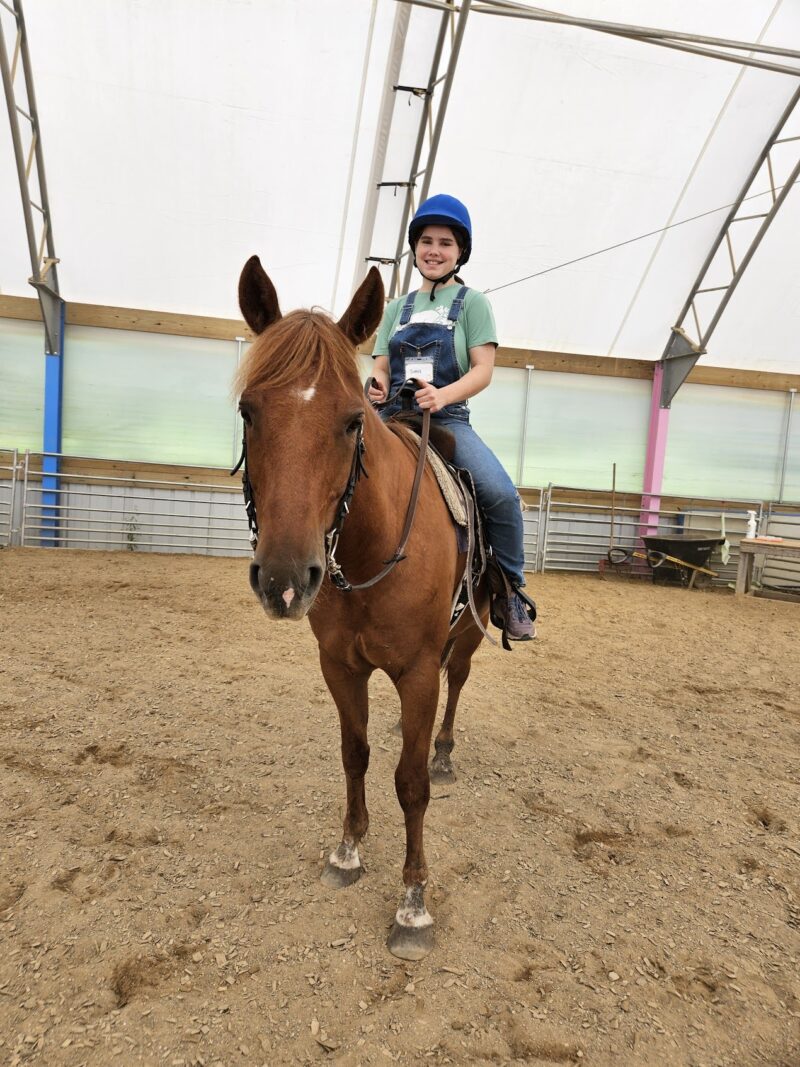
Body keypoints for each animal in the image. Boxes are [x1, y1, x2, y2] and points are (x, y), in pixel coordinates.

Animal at [234, 256, 489, 960]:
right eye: (247, 411)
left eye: (352, 420)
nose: (285, 578)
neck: (371, 548)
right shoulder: (340, 665)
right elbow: (355, 753)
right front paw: (347, 850)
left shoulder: (417, 670)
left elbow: (411, 784)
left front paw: (414, 904)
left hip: (468, 635)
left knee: (458, 685)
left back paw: (445, 750)